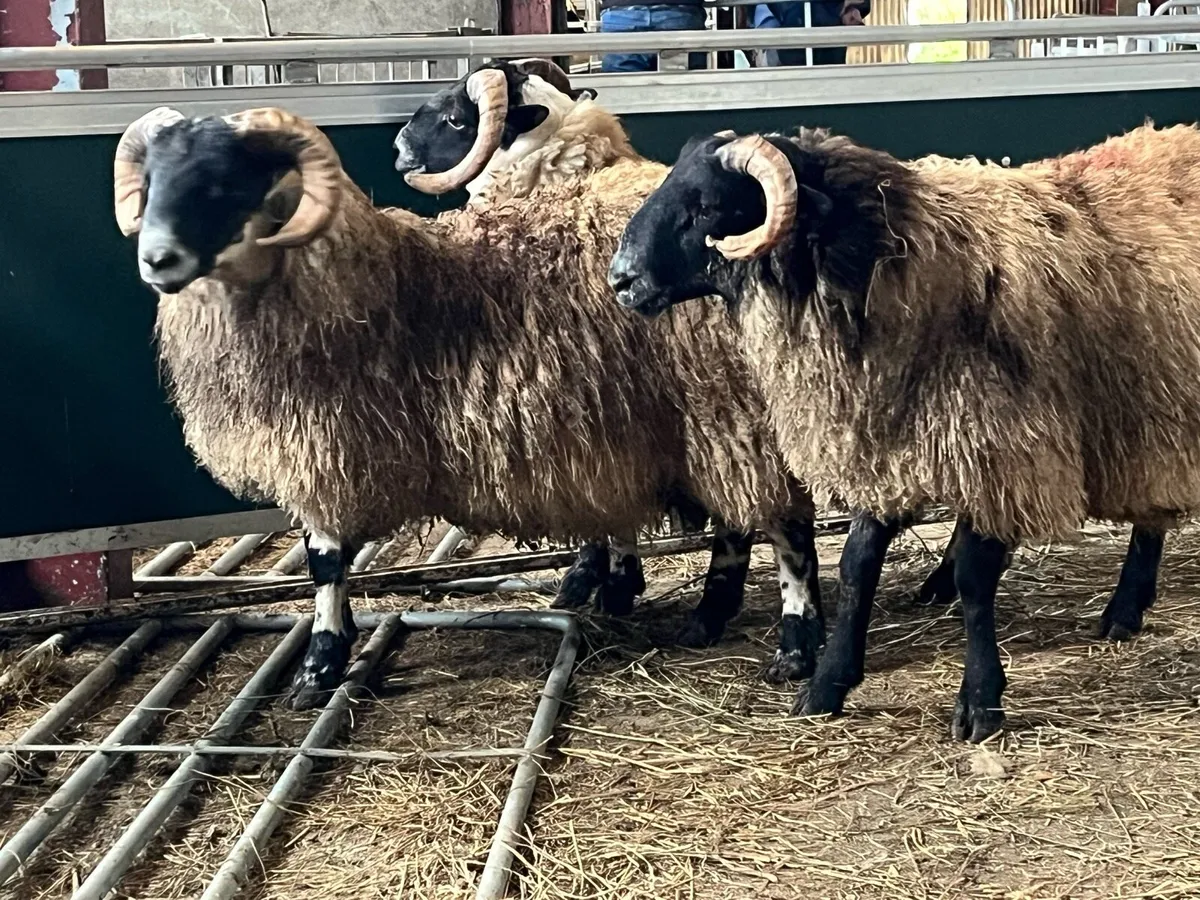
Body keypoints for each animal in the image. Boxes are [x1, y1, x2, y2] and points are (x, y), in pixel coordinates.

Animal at [112, 102, 826, 709]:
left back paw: (792, 645)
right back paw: (706, 616)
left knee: (785, 526)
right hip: (702, 414)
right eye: (151, 181)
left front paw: (320, 666)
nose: (156, 260)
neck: (378, 287)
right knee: (737, 519)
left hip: (731, 406)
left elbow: (326, 564)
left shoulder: (325, 452)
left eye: (223, 185)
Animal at [607, 124, 1193, 741]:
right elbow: (857, 563)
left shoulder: (998, 451)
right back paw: (1127, 609)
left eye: (707, 207)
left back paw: (1123, 608)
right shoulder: (886, 439)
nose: (621, 279)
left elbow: (976, 578)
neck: (899, 262)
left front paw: (980, 702)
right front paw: (828, 685)